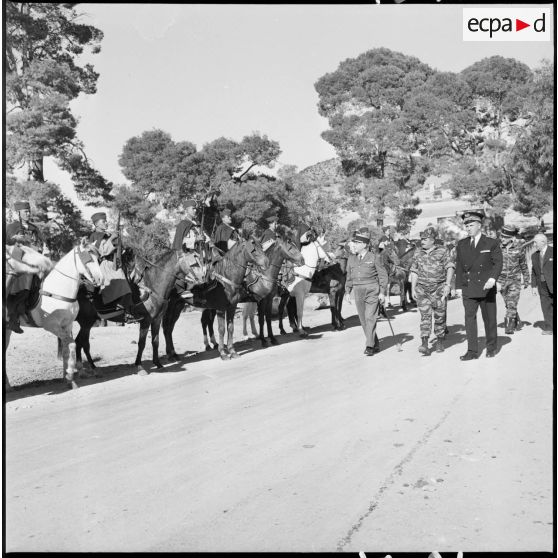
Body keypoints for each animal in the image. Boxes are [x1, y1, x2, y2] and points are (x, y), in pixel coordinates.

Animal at [5, 240, 105, 390]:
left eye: (98, 259)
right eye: (87, 258)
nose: (100, 278)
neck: (58, 289)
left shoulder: (67, 325)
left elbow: (66, 349)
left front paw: (68, 378)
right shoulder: (52, 326)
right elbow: (72, 345)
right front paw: (70, 374)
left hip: (7, 330)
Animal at [75, 248, 200, 376]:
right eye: (193, 263)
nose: (198, 280)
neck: (153, 288)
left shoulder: (156, 320)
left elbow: (155, 341)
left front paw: (158, 364)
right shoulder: (145, 321)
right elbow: (142, 343)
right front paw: (139, 366)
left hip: (88, 323)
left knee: (82, 343)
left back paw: (89, 368)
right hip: (86, 323)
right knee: (81, 342)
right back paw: (85, 369)